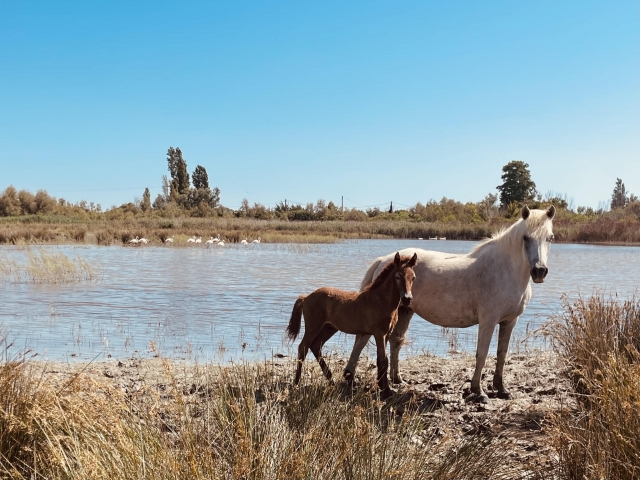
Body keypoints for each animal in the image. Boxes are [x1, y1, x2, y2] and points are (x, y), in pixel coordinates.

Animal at [286, 252, 418, 398]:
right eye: (397, 276)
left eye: (413, 277)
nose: (407, 298)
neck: (381, 300)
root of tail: (306, 297)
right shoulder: (379, 334)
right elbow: (383, 361)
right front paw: (386, 392)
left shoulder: (386, 334)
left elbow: (382, 360)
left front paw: (384, 389)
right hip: (313, 326)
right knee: (303, 347)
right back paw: (296, 382)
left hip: (329, 328)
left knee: (315, 346)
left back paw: (331, 380)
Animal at [343, 205, 556, 403]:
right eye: (525, 238)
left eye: (550, 237)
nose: (539, 271)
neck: (504, 270)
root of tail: (383, 260)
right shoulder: (488, 321)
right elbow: (482, 354)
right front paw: (479, 391)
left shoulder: (510, 321)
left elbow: (501, 354)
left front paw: (502, 389)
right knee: (362, 341)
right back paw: (349, 378)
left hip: (405, 311)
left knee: (395, 341)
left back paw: (397, 379)